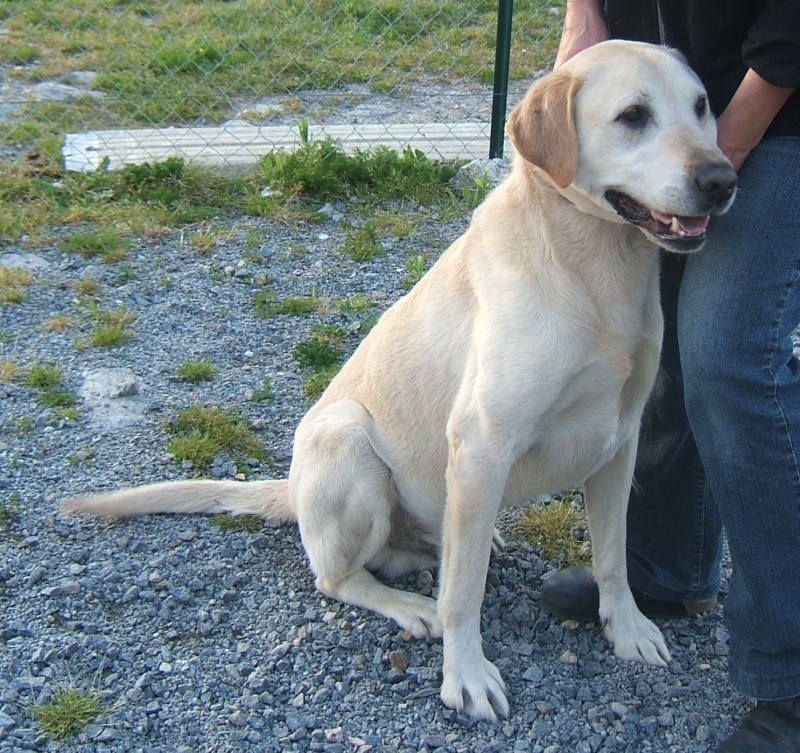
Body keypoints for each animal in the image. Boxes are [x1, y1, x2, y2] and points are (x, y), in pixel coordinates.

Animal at [64, 42, 736, 724]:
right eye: (632, 116)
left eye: (702, 106)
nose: (722, 180)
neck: (595, 268)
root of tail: (292, 489)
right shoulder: (482, 444)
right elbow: (462, 594)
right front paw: (465, 674)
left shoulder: (620, 441)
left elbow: (614, 557)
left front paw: (626, 627)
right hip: (350, 444)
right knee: (339, 575)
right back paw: (410, 604)